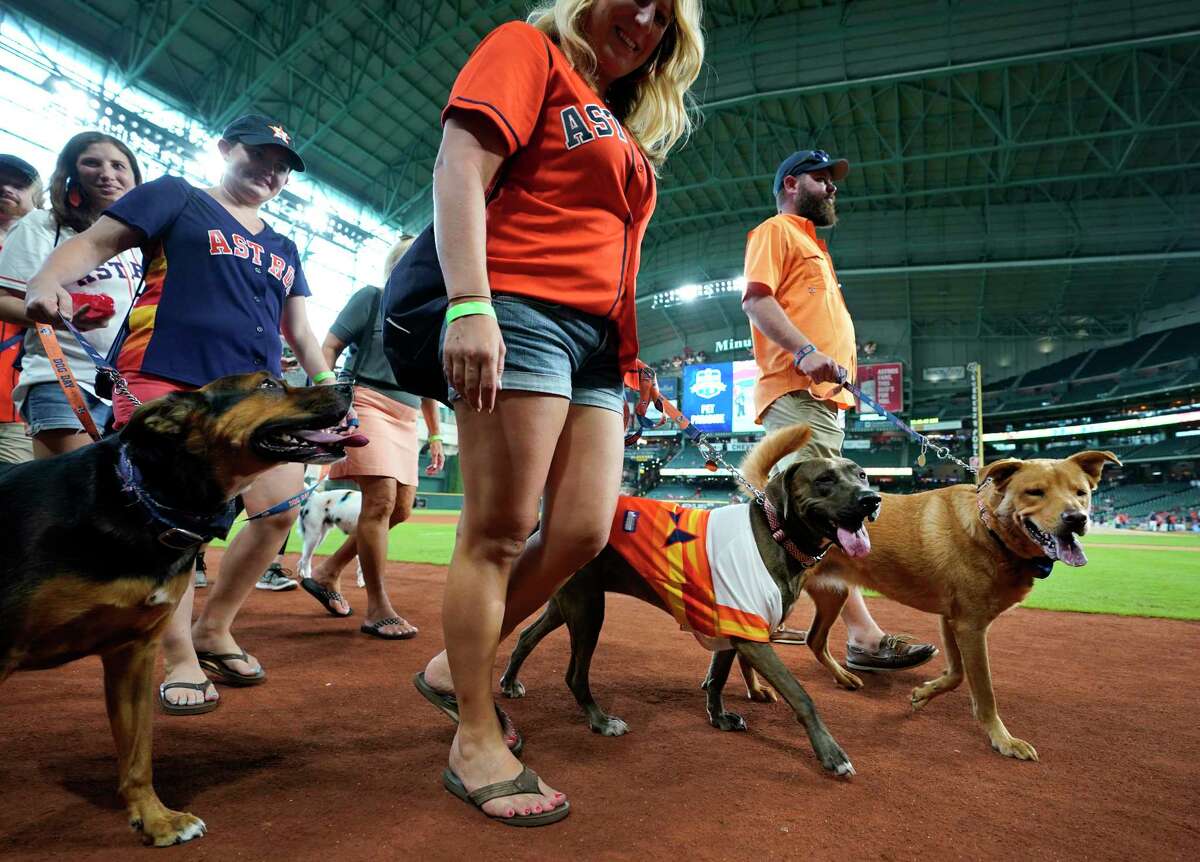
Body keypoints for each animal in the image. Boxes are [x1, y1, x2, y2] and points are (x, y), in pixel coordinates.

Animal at [0, 372, 364, 845]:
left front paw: (155, 819)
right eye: (268, 384)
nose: (349, 383)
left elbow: (137, 754)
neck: (138, 499)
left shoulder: (132, 654)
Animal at [496, 429, 883, 777]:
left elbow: (717, 678)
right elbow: (801, 695)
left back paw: (510, 682)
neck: (778, 534)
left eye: (861, 474)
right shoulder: (751, 637)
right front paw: (831, 754)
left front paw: (718, 716)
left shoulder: (732, 624)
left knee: (526, 636)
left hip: (567, 603)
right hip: (589, 609)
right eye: (824, 480)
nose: (872, 498)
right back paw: (600, 721)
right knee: (575, 674)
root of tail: (547, 521)